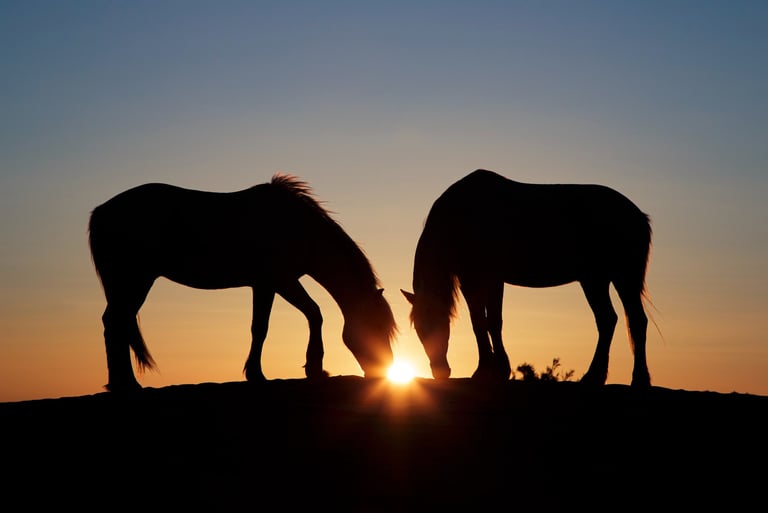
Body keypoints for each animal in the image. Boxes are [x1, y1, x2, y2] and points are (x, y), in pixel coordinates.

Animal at [89, 173, 397, 392]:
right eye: (376, 328)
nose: (383, 372)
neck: (297, 227)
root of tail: (100, 212)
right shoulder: (277, 281)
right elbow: (286, 321)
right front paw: (288, 371)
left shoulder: (271, 284)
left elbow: (281, 322)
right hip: (134, 279)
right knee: (116, 321)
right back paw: (126, 384)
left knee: (115, 322)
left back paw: (120, 383)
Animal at [402, 169, 653, 387]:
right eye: (419, 330)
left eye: (436, 324)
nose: (440, 372)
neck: (459, 217)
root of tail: (638, 215)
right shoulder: (473, 280)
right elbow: (481, 322)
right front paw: (488, 370)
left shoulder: (489, 278)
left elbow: (491, 322)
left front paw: (495, 370)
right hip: (596, 279)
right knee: (610, 320)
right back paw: (597, 377)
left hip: (620, 277)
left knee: (631, 321)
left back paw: (633, 379)